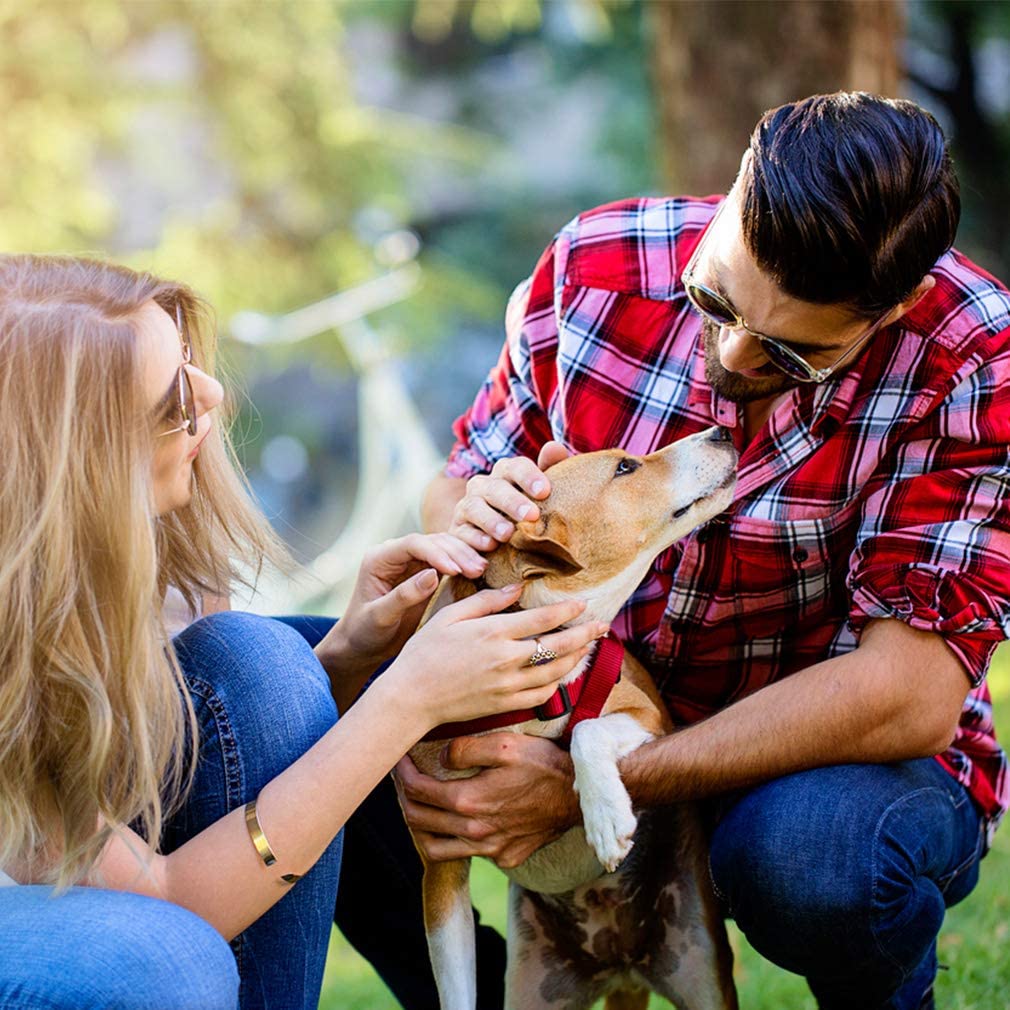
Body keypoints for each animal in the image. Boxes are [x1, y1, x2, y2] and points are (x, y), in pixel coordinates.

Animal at [408, 426, 743, 1010]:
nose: (721, 430)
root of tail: (622, 964)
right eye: (626, 467)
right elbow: (455, 986)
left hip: (701, 969)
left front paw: (605, 815)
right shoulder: (440, 867)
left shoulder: (651, 717)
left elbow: (586, 728)